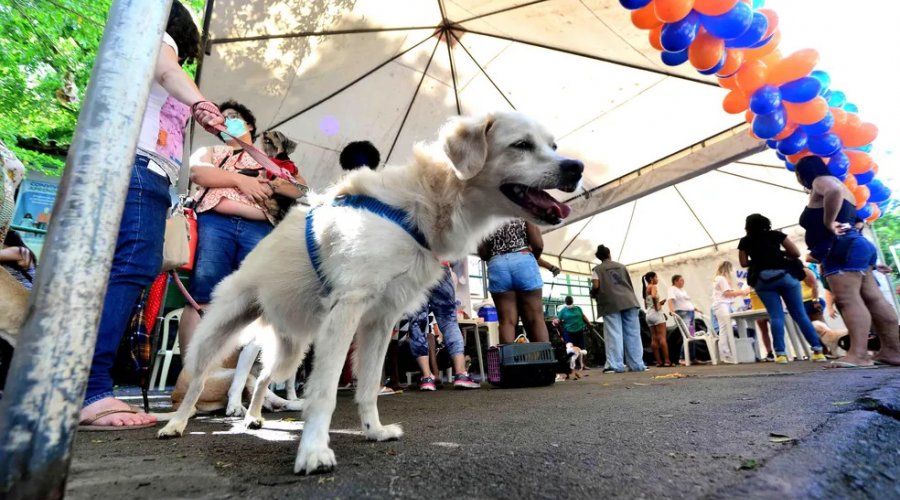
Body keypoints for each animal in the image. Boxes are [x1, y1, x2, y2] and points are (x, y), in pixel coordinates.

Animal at [158, 111, 584, 474]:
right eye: (521, 145)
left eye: (553, 145)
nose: (576, 167)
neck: (426, 202)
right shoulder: (348, 308)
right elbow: (326, 391)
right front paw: (314, 450)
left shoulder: (380, 321)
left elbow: (367, 388)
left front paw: (374, 431)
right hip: (218, 331)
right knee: (199, 380)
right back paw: (177, 423)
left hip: (294, 346)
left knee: (263, 378)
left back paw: (253, 417)